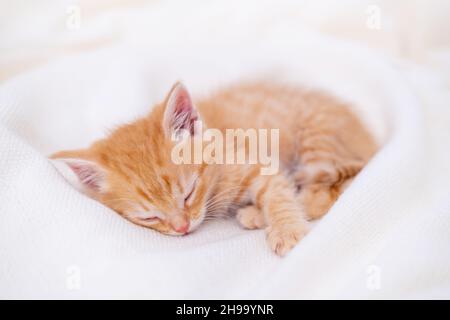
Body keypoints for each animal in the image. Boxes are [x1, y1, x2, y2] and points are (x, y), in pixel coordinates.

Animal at [51, 82, 378, 255]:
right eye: (149, 217)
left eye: (188, 193)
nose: (182, 228)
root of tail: (370, 137)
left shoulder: (258, 164)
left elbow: (278, 195)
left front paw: (288, 231)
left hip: (317, 142)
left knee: (322, 195)